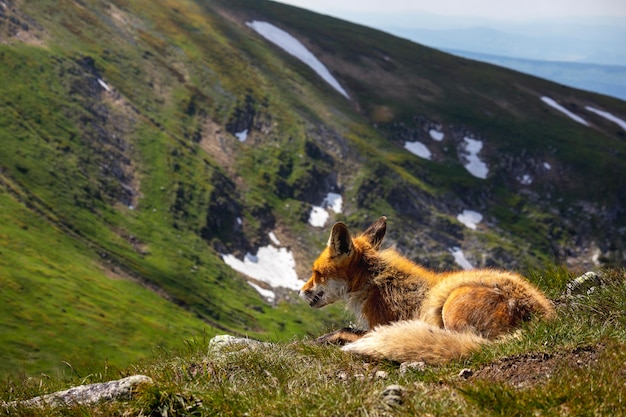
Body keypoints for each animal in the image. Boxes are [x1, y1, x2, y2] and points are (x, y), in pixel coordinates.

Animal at [300, 216, 552, 362]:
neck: (374, 283)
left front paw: (320, 341)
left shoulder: (382, 323)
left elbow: (343, 330)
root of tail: (541, 319)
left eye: (316, 273)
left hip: (451, 305)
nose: (301, 291)